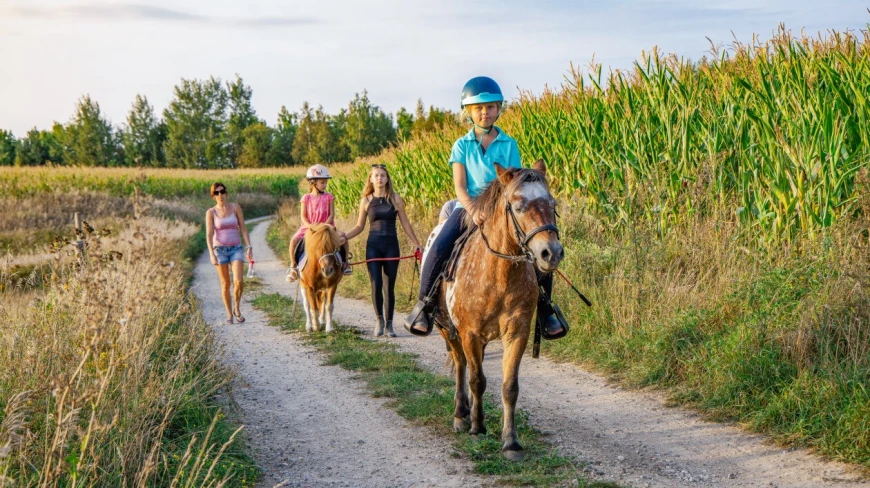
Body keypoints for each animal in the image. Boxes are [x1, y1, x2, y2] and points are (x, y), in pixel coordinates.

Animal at [430, 160, 564, 462]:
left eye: (552, 204)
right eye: (518, 206)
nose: (551, 253)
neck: (499, 275)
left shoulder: (517, 333)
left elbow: (509, 387)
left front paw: (511, 442)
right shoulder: (469, 334)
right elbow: (477, 380)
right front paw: (477, 427)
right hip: (448, 330)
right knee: (461, 366)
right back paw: (461, 415)